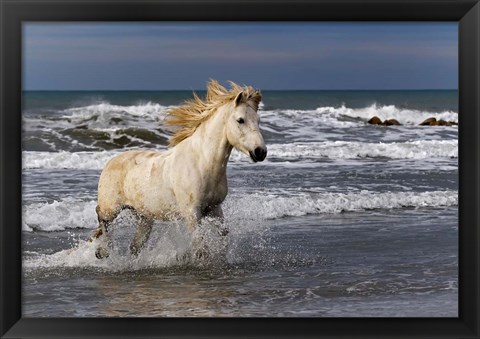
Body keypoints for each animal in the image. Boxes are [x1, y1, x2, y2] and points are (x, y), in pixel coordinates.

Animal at [91, 81, 266, 258]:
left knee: (135, 246)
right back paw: (102, 251)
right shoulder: (191, 213)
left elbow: (224, 237)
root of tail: (110, 162)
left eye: (258, 120)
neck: (202, 163)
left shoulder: (215, 208)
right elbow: (200, 247)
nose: (260, 152)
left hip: (144, 217)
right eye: (240, 120)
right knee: (102, 220)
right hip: (111, 209)